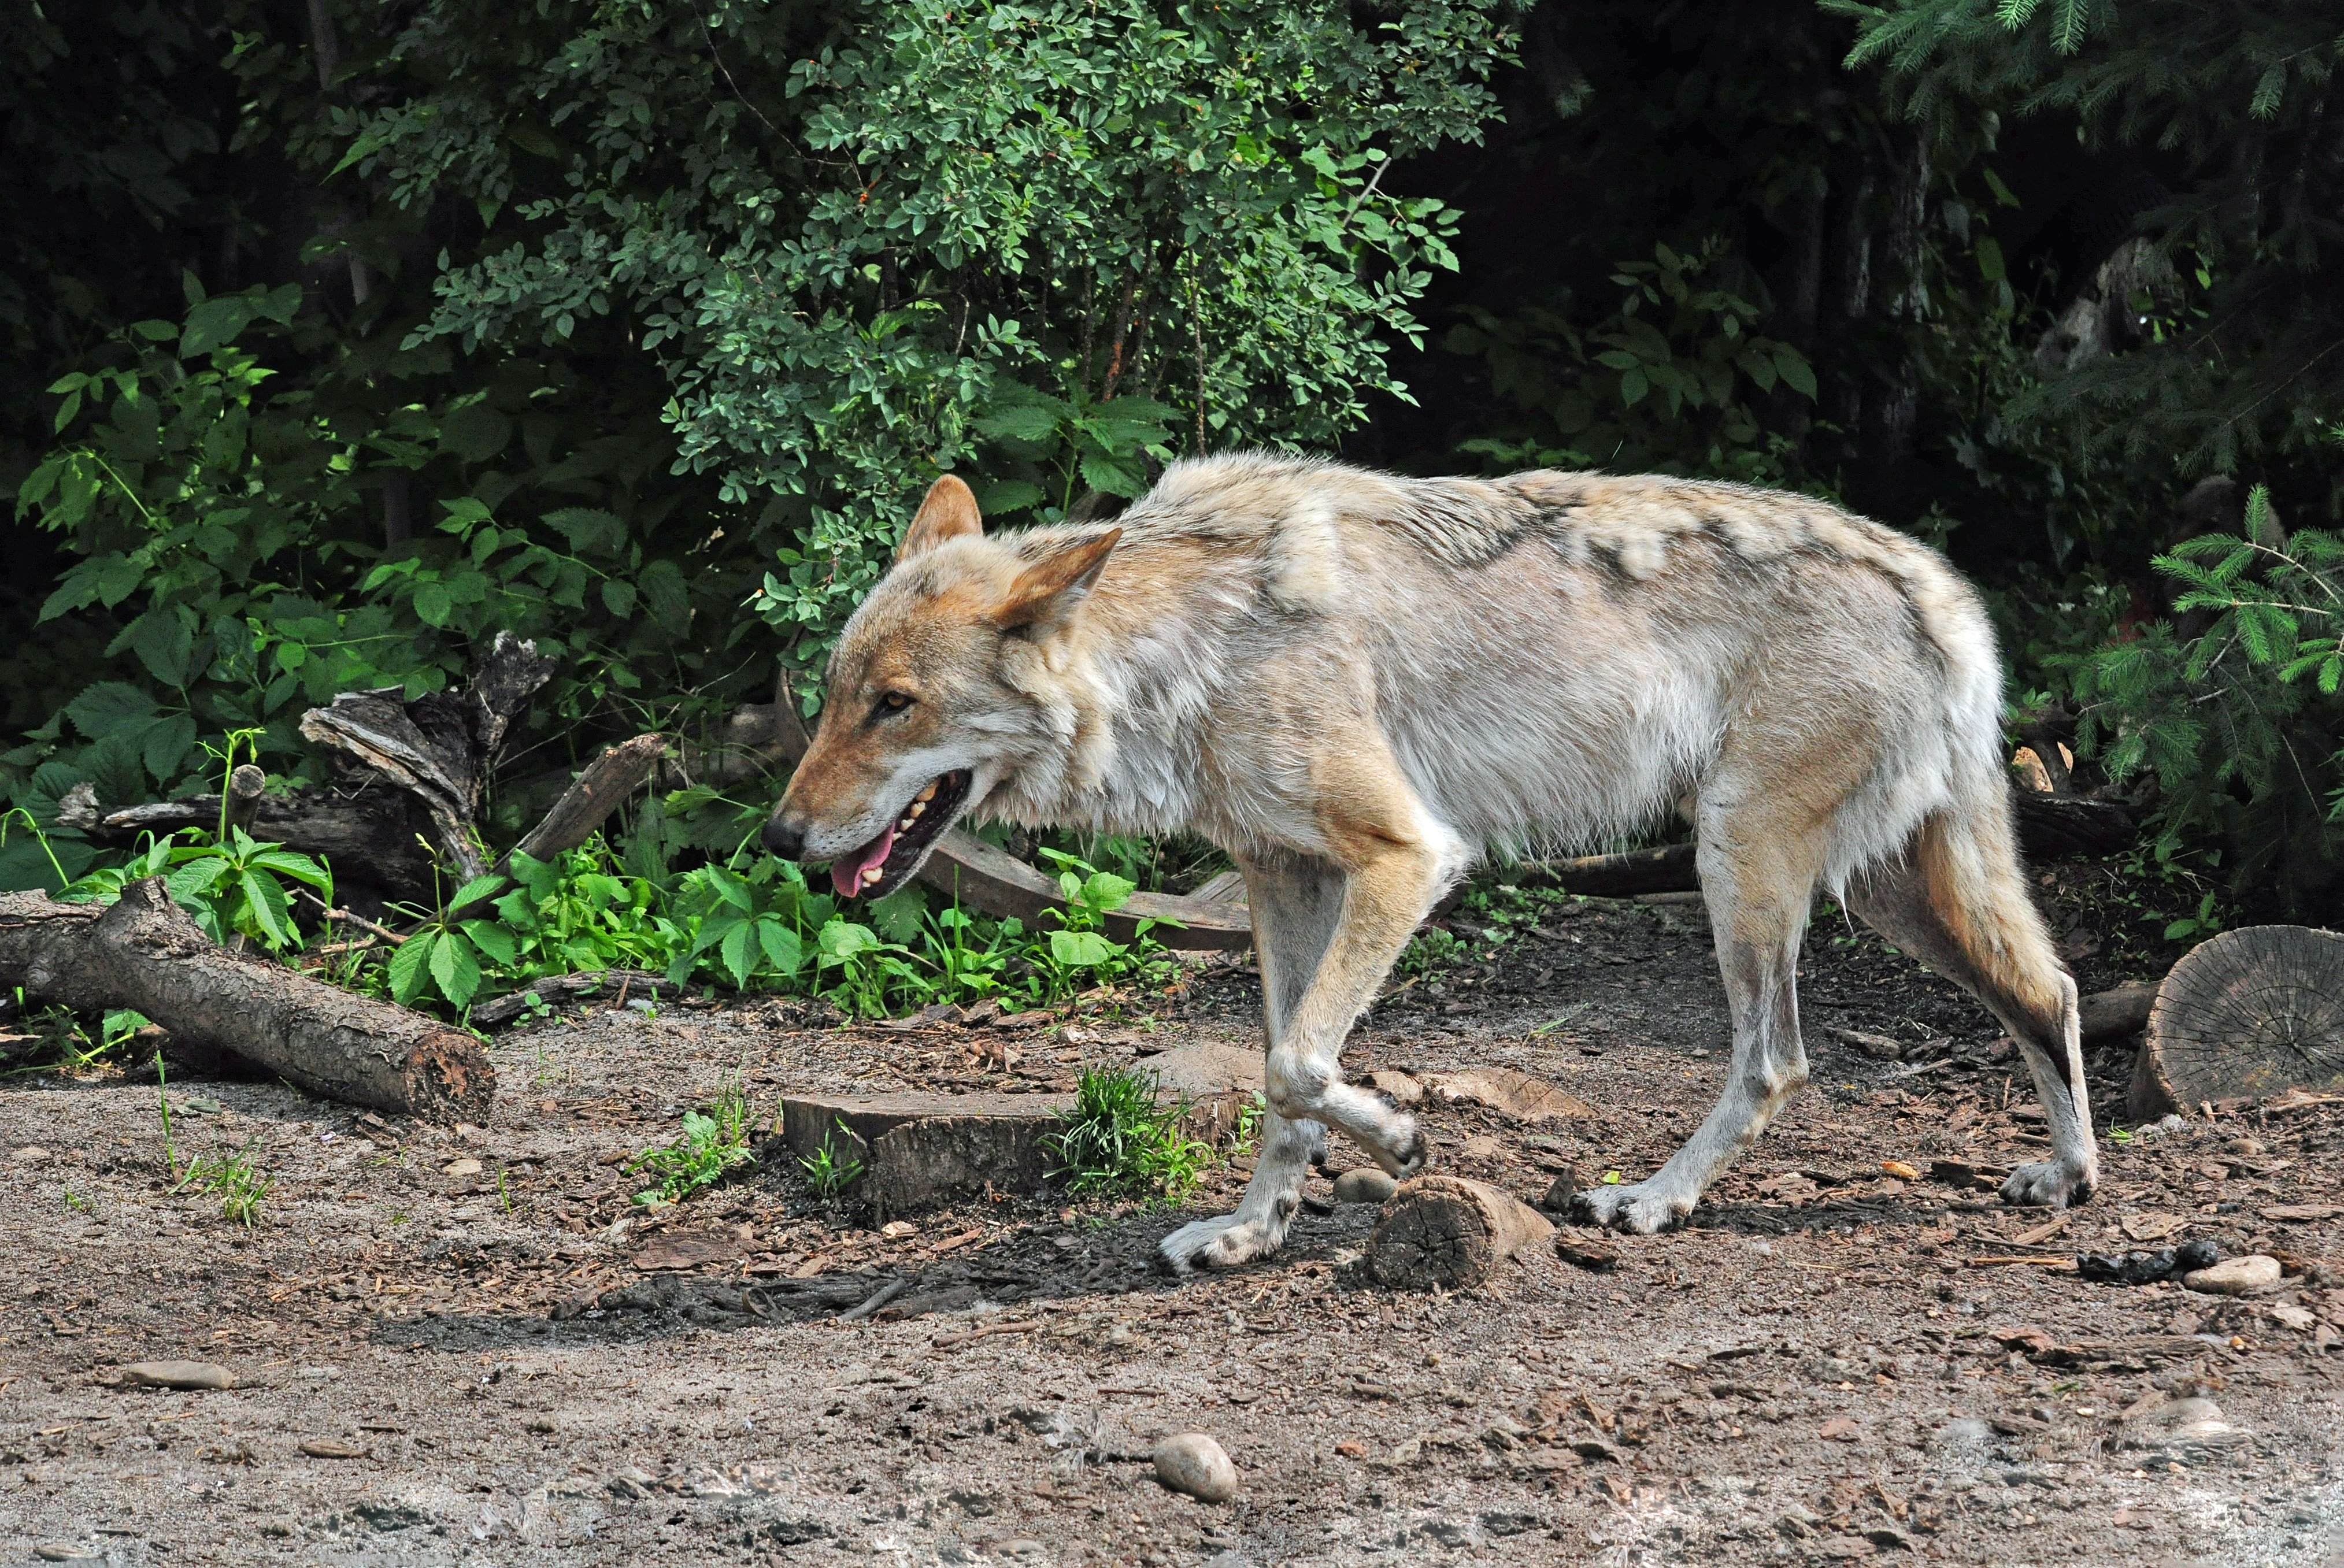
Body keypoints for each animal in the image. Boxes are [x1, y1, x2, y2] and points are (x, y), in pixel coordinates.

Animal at [759, 452, 2100, 1275]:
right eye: (832, 696)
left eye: (894, 705)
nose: (777, 838)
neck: (1184, 654)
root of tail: (1948, 594)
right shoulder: (1283, 879)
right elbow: (1278, 1077)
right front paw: (1251, 1232)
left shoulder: (1409, 858)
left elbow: (1300, 1061)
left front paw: (1402, 1145)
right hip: (1887, 896)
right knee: (2052, 992)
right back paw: (2068, 1178)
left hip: (1742, 864)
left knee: (1777, 1060)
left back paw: (1651, 1200)